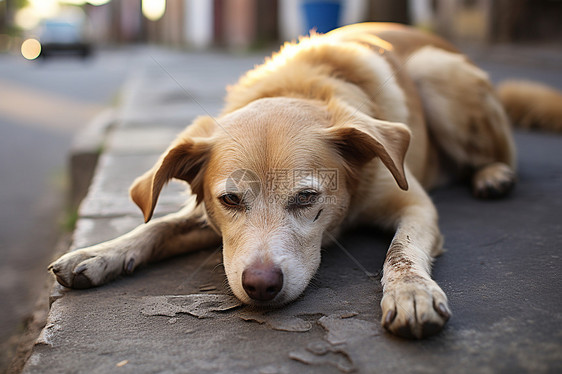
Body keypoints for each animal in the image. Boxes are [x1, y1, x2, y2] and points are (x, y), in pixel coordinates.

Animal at [49, 23, 552, 338]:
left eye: (307, 197)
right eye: (230, 200)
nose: (261, 285)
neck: (300, 89)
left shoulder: (414, 205)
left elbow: (401, 251)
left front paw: (410, 293)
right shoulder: (205, 218)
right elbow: (158, 226)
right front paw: (100, 253)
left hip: (438, 72)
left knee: (497, 154)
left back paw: (493, 174)